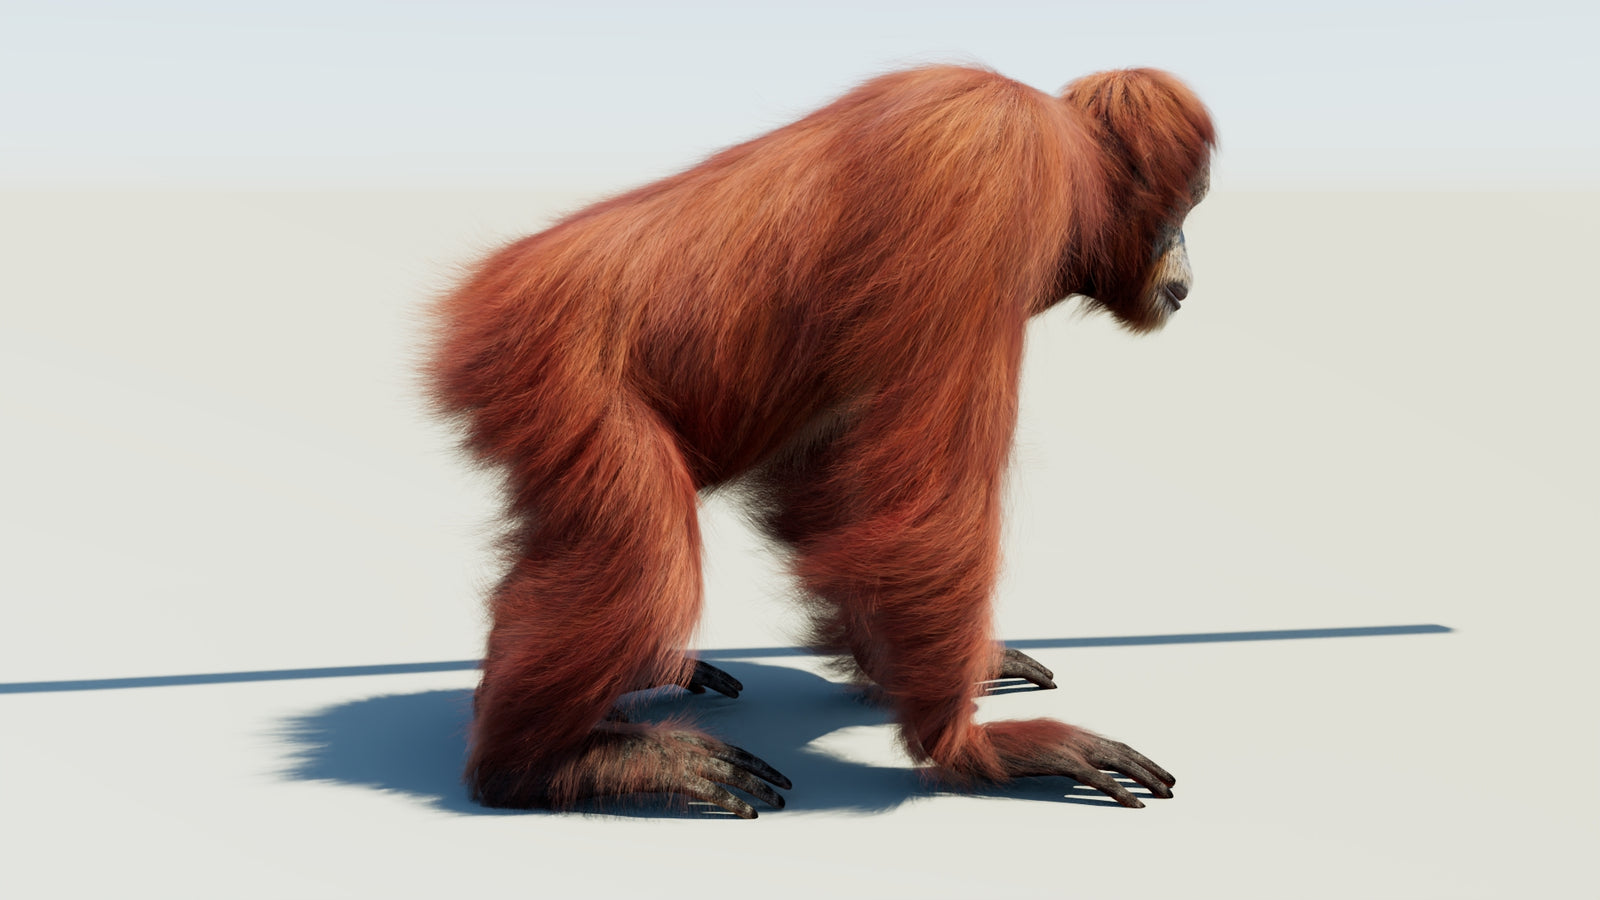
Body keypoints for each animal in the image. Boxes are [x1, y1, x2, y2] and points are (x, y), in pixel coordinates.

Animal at [427, 65, 1215, 818]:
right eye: (1187, 208)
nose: (1189, 268)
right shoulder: (994, 170)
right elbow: (920, 510)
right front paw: (970, 747)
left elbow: (833, 487)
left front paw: (936, 668)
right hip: (551, 370)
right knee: (648, 557)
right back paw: (539, 767)